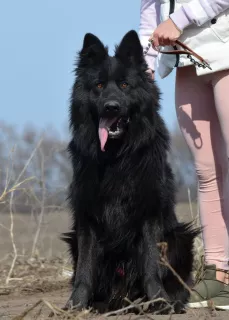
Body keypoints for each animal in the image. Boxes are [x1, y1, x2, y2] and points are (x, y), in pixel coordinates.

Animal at [62, 30, 199, 316]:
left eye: (125, 85)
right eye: (99, 86)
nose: (111, 107)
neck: (116, 157)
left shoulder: (149, 213)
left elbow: (150, 264)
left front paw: (159, 302)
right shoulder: (86, 217)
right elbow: (85, 269)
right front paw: (75, 304)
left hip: (180, 237)